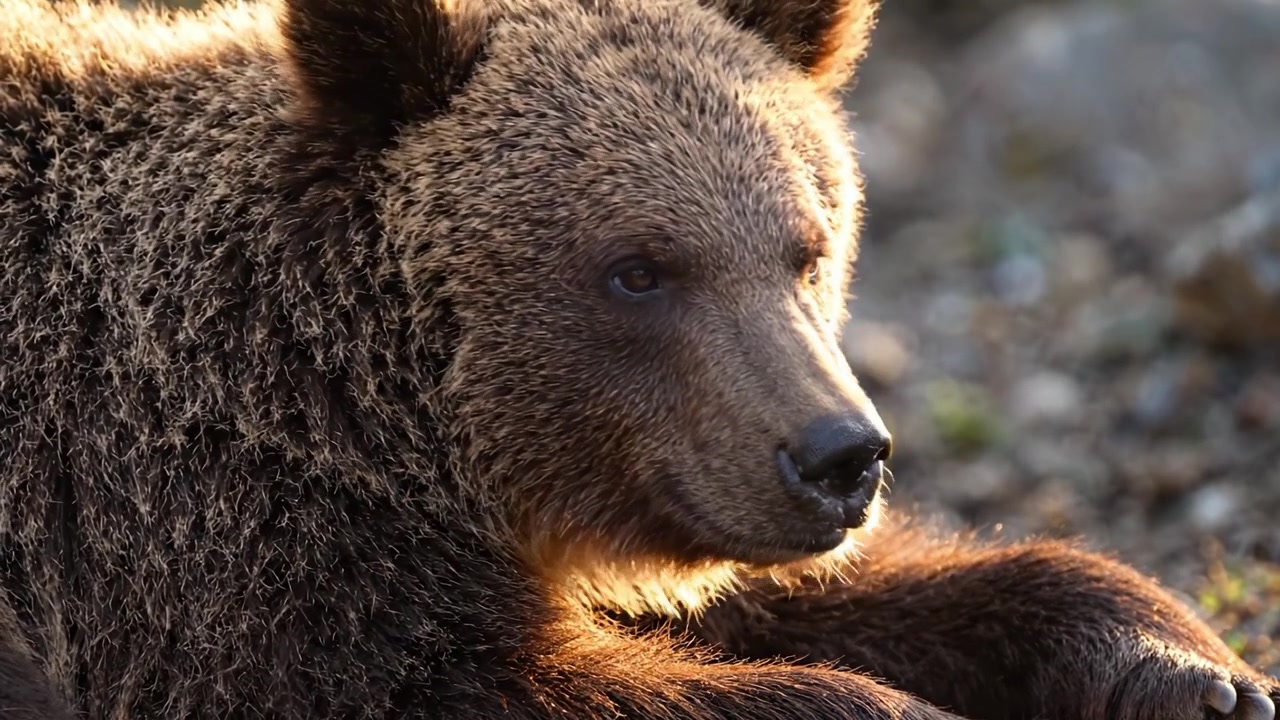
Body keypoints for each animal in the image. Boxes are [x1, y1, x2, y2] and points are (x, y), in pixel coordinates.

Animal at [0, 0, 1278, 718]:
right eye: (637, 269)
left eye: (806, 245)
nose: (841, 458)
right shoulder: (202, 546)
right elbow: (474, 681)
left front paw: (1193, 674)